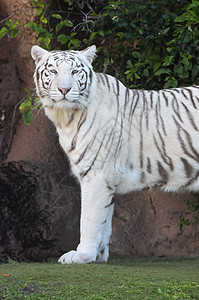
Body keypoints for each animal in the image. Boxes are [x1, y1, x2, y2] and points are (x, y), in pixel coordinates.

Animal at [31, 44, 199, 262]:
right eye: (53, 71)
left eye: (75, 71)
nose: (64, 90)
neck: (66, 117)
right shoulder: (106, 179)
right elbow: (104, 220)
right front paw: (99, 256)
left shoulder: (97, 175)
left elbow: (89, 219)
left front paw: (82, 255)